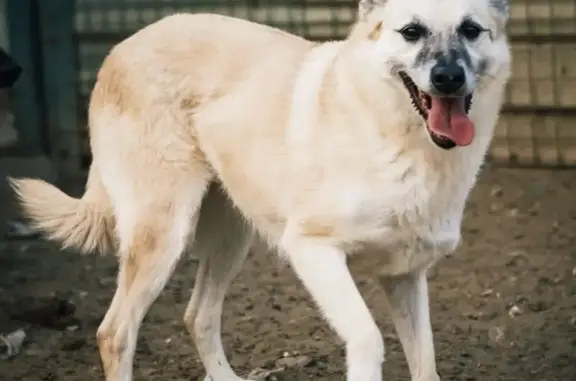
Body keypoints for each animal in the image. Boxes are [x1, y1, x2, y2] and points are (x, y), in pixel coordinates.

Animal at [11, 0, 510, 380]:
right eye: (411, 32)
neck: (401, 139)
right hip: (164, 235)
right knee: (114, 333)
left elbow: (426, 364)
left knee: (197, 315)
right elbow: (368, 338)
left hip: (233, 238)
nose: (448, 78)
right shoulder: (312, 249)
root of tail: (121, 47)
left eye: (471, 30)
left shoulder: (403, 276)